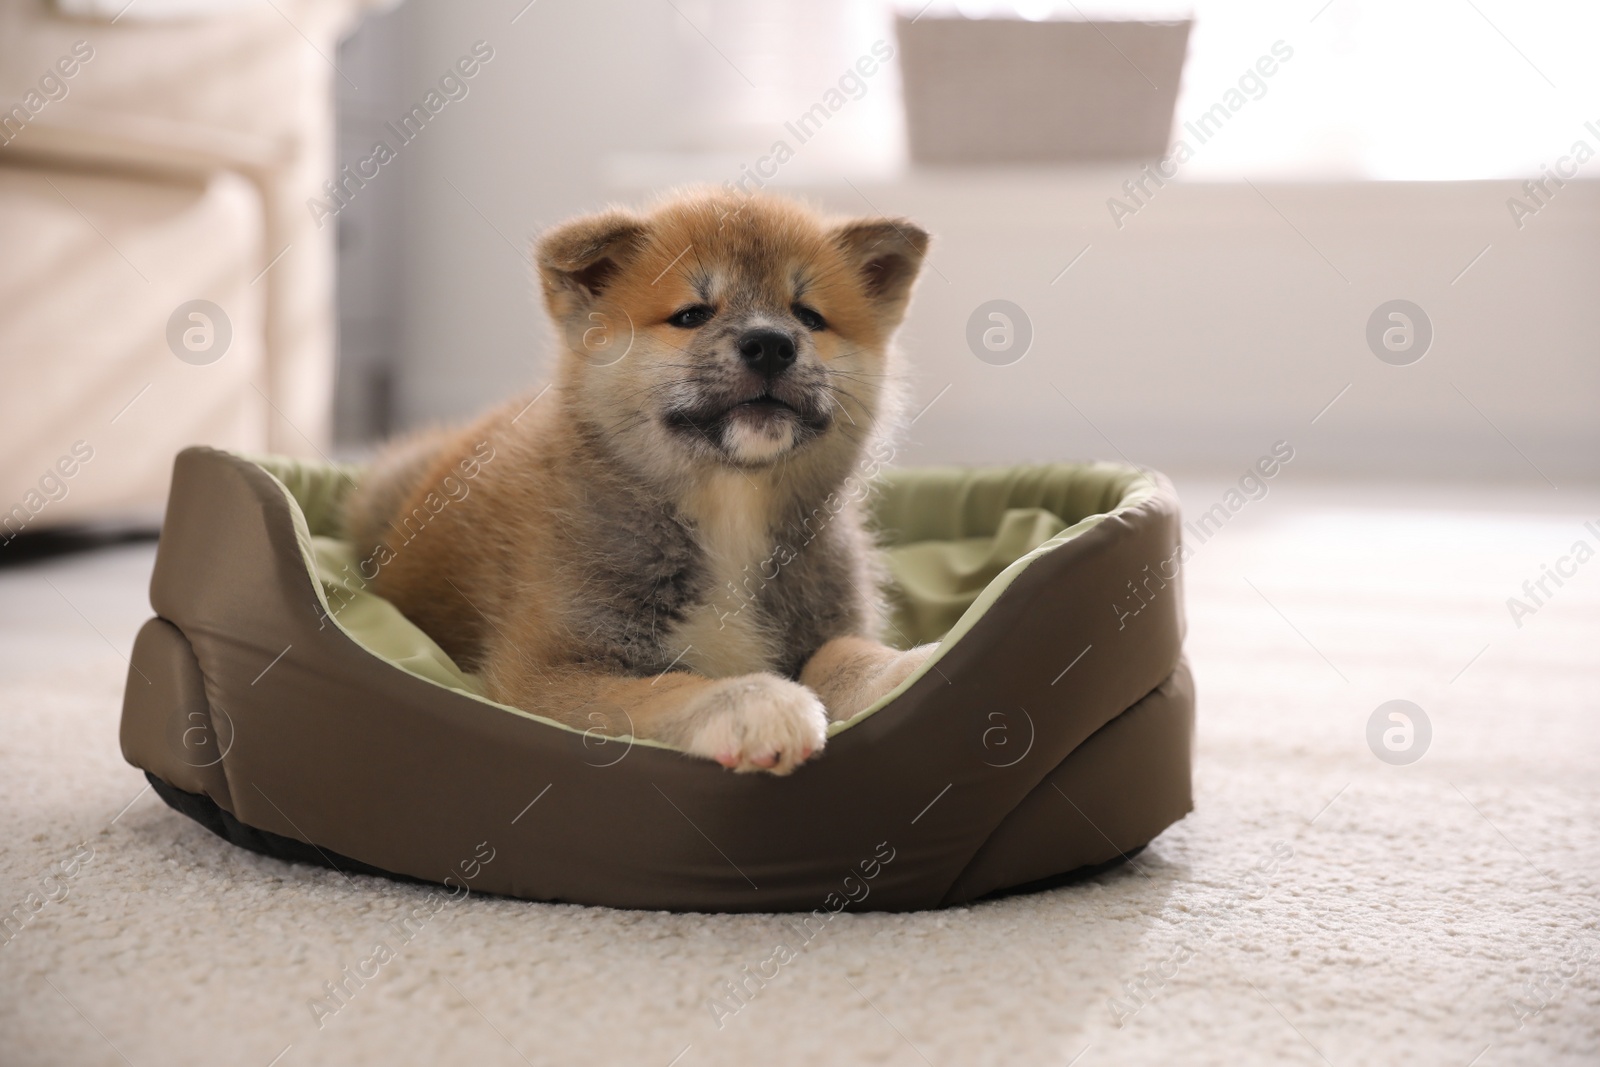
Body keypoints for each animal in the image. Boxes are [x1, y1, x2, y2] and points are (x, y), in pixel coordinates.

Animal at [340, 189, 934, 777]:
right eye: (691, 314)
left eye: (809, 317)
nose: (770, 343)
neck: (730, 509)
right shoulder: (548, 671)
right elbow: (666, 688)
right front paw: (752, 700)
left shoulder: (828, 624)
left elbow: (845, 655)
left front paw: (910, 667)